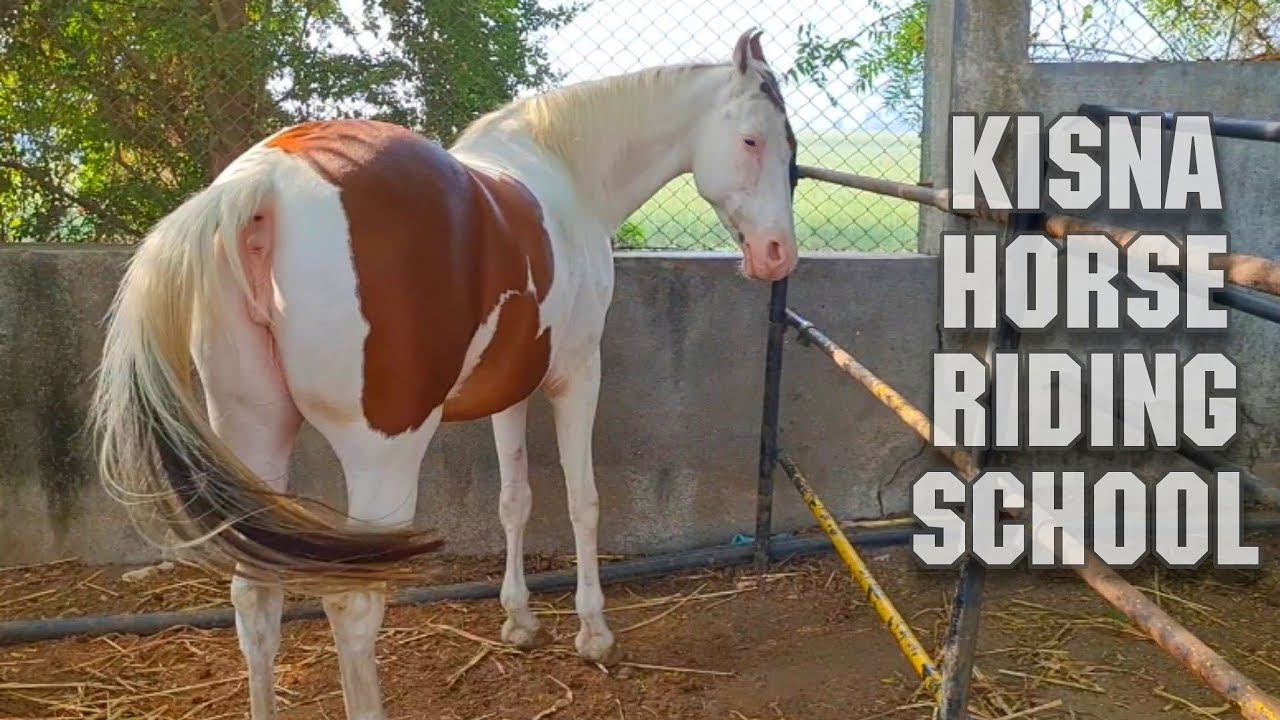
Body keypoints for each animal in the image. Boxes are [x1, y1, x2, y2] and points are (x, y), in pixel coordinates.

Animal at [89, 27, 800, 720]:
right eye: (752, 140)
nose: (778, 255)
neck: (565, 168)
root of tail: (261, 185)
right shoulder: (575, 377)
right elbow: (583, 501)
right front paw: (593, 634)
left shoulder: (511, 390)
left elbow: (515, 500)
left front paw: (519, 622)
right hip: (383, 454)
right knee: (352, 606)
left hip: (254, 435)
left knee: (254, 598)